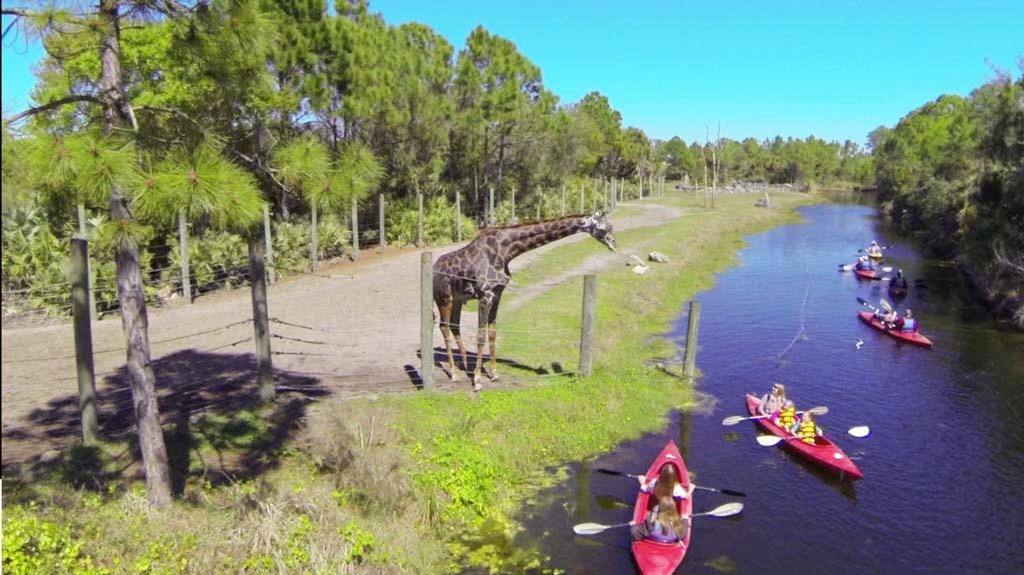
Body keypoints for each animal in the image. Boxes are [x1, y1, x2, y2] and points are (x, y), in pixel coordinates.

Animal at [432, 209, 614, 388]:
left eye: (611, 226)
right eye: (603, 228)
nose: (614, 245)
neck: (505, 252)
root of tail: (433, 268)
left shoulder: (497, 293)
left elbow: (492, 333)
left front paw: (494, 375)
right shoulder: (485, 294)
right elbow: (481, 335)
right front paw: (477, 380)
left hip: (458, 299)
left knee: (454, 325)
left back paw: (463, 364)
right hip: (444, 298)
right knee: (444, 326)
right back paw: (454, 374)